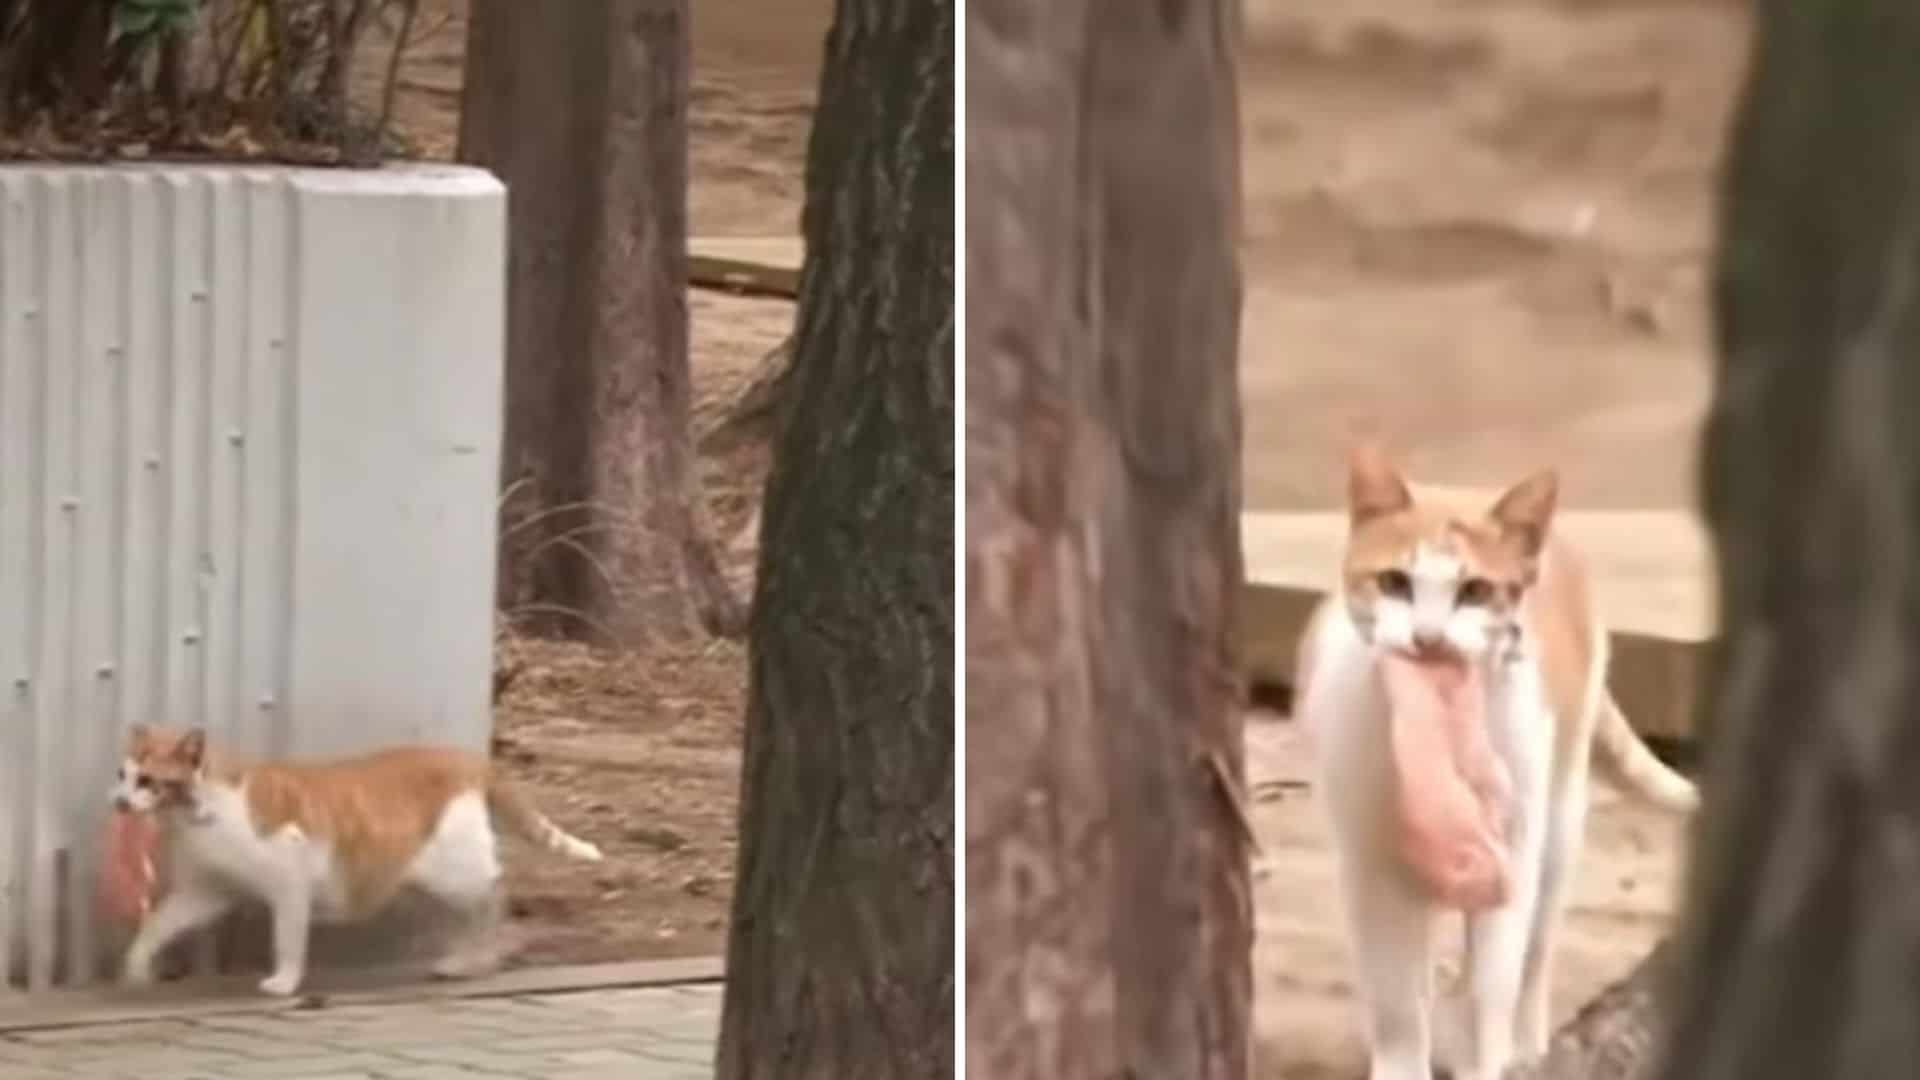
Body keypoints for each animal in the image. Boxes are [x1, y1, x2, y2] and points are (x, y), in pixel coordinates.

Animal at [108, 722, 599, 991]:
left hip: (457, 873)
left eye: (147, 781)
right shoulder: (207, 891)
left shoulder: (290, 882)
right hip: (434, 880)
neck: (199, 811)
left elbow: (287, 937)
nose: (118, 801)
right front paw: (135, 969)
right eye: (122, 774)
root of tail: (469, 759)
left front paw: (285, 982)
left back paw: (479, 958)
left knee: (496, 893)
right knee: (475, 909)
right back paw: (460, 963)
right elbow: (155, 926)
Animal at [1290, 445, 1697, 1076]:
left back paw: (1528, 1046)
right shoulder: (1368, 862)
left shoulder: (1513, 850)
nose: (1429, 638)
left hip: (1558, 826)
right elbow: (1396, 997)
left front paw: (1487, 1057)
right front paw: (1404, 1060)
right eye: (1395, 583)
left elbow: (1493, 984)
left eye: (1475, 591)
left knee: (1534, 956)